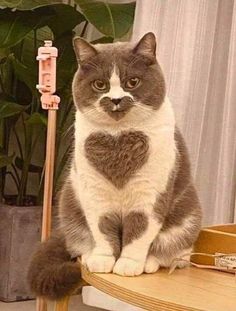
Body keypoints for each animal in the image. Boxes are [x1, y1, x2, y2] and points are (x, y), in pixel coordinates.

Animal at [27, 33, 201, 298]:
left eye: (133, 82)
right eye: (100, 85)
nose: (116, 99)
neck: (118, 139)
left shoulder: (149, 196)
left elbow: (140, 231)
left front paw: (128, 263)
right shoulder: (94, 193)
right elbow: (101, 228)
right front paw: (103, 259)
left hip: (188, 218)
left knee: (175, 254)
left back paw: (150, 262)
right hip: (69, 203)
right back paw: (90, 256)